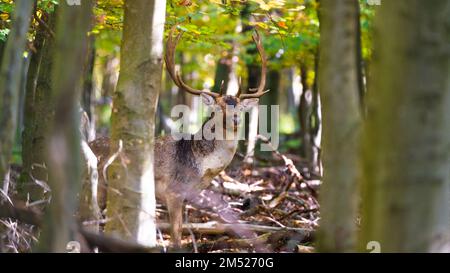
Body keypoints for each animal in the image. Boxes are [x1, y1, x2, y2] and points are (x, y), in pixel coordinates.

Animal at [89, 26, 268, 246]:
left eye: (240, 109)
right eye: (218, 108)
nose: (235, 120)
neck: (201, 168)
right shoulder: (173, 191)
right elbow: (176, 234)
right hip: (99, 184)